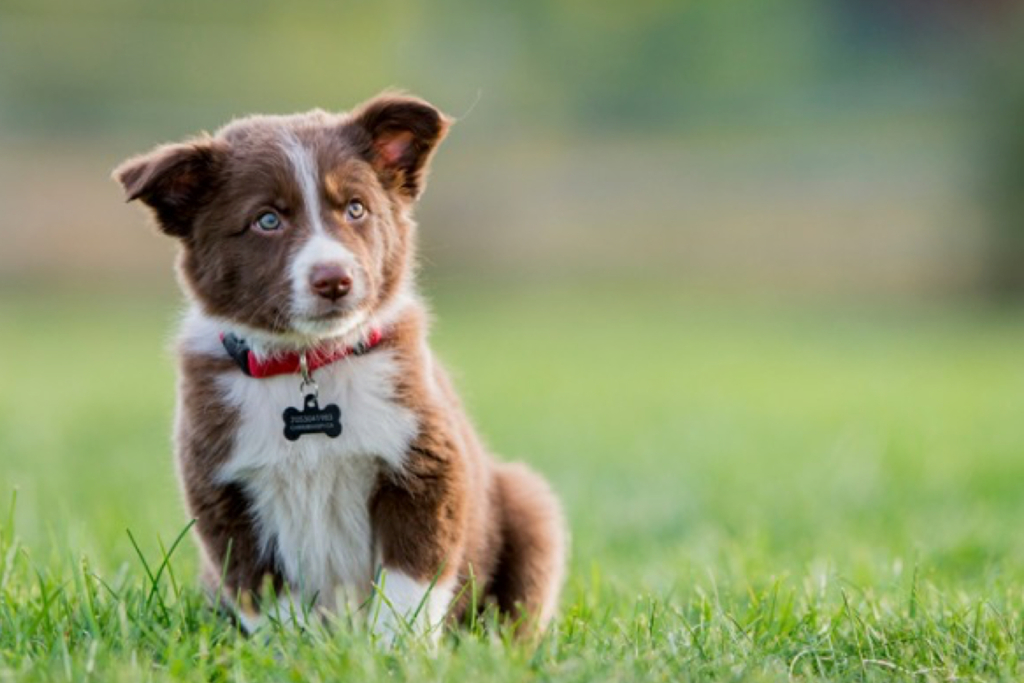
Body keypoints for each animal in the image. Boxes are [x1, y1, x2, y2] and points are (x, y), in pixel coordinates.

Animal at [116, 92, 573, 643]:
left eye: (356, 208)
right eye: (267, 220)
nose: (334, 279)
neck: (308, 361)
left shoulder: (425, 469)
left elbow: (408, 583)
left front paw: (393, 649)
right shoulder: (225, 495)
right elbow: (266, 593)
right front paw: (297, 649)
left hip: (529, 506)